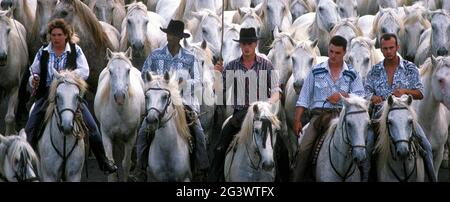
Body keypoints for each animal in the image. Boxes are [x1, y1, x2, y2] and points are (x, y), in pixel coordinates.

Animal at [94, 48, 144, 181]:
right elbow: (111, 164)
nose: (120, 97)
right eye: (110, 71)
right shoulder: (106, 136)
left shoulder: (131, 136)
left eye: (128, 71)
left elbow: (126, 164)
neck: (120, 111)